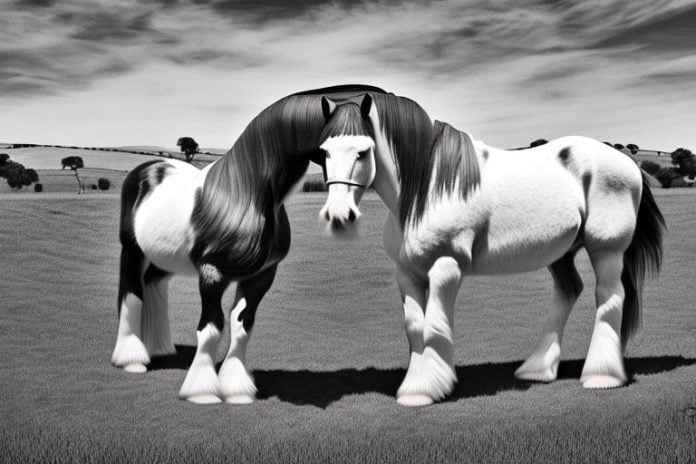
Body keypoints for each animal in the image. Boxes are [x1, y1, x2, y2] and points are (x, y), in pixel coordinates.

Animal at [110, 84, 388, 404]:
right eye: (326, 150)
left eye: (365, 149)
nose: (342, 212)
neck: (244, 194)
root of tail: (147, 168)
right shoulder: (212, 274)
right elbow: (211, 328)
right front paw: (202, 391)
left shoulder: (261, 276)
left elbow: (242, 326)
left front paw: (237, 390)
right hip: (131, 251)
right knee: (131, 294)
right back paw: (132, 359)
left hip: (165, 259)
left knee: (153, 284)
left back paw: (159, 349)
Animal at [315, 91, 666, 406]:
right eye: (324, 153)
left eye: (363, 151)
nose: (339, 215)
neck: (426, 188)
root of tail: (624, 159)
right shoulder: (407, 272)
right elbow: (415, 327)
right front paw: (415, 387)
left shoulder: (447, 266)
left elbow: (433, 326)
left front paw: (428, 389)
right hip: (561, 251)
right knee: (569, 290)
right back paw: (538, 369)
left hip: (606, 249)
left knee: (609, 296)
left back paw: (601, 375)